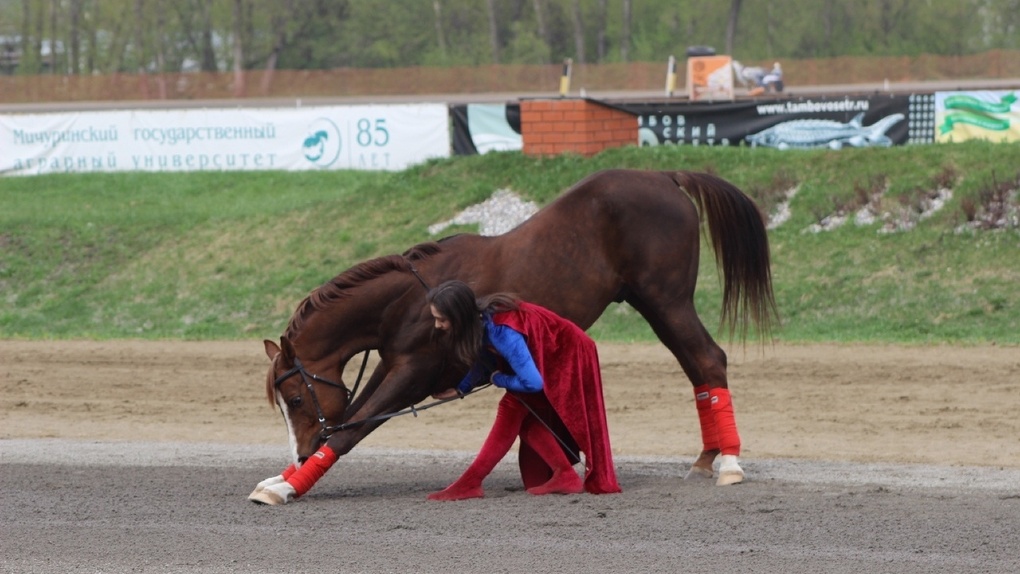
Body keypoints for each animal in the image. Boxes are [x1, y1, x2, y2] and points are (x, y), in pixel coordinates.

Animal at [250, 168, 775, 505]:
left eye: (294, 399)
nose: (300, 450)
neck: (412, 296)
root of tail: (664, 176)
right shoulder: (393, 361)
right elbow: (356, 412)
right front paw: (284, 474)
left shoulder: (415, 369)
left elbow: (353, 427)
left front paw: (290, 484)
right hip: (658, 306)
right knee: (697, 367)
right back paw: (707, 457)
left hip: (667, 300)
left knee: (709, 359)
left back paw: (729, 461)